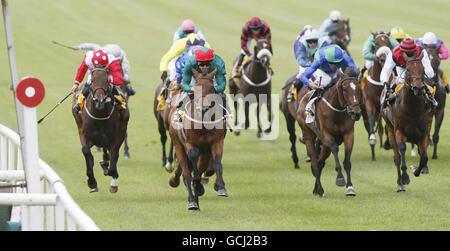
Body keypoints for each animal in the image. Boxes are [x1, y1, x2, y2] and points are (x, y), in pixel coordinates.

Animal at [167, 68, 227, 210]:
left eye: (212, 88)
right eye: (195, 88)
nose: (204, 108)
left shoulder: (216, 142)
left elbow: (217, 164)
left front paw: (221, 188)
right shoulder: (191, 145)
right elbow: (192, 171)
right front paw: (197, 187)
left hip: (204, 153)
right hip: (178, 145)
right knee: (187, 173)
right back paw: (192, 201)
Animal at [296, 67, 362, 197]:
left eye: (358, 88)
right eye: (344, 89)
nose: (356, 113)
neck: (337, 111)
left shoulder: (349, 135)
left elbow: (347, 162)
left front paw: (350, 187)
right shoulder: (327, 135)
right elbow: (335, 148)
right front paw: (340, 179)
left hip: (324, 145)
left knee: (320, 162)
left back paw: (316, 189)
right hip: (308, 135)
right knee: (315, 163)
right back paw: (321, 190)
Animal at [382, 54, 434, 192]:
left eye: (423, 69)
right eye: (408, 69)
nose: (418, 88)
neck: (413, 108)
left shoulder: (423, 133)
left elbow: (424, 156)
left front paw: (416, 170)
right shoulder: (399, 131)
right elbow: (402, 149)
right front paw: (405, 177)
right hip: (390, 130)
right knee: (397, 157)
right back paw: (400, 183)